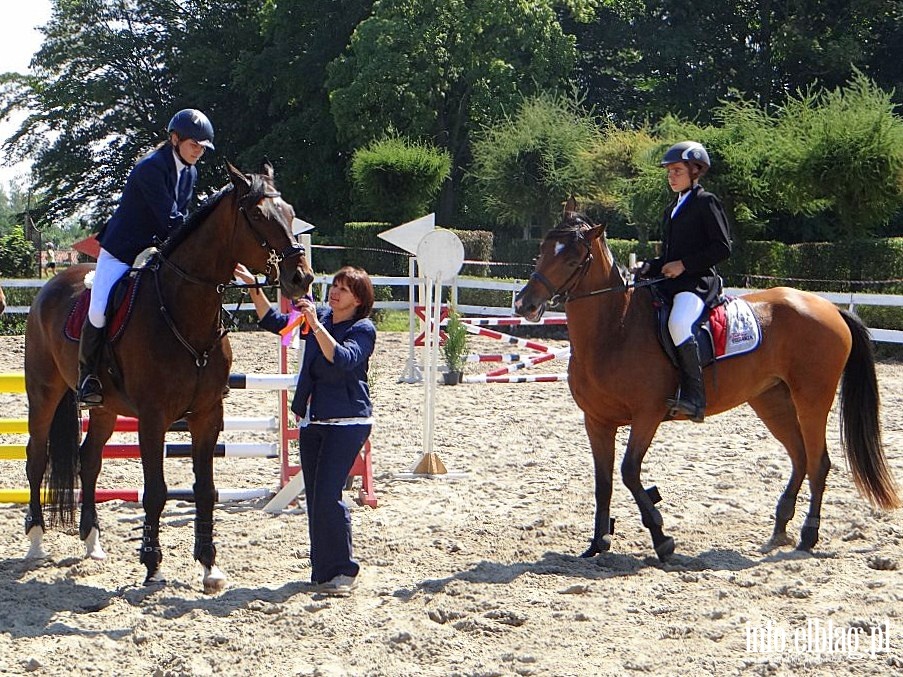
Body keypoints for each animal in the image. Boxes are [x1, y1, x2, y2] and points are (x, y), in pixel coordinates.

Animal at [23, 160, 314, 592]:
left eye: (291, 213)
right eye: (259, 216)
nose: (302, 279)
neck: (184, 310)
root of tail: (50, 284)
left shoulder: (207, 416)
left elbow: (206, 490)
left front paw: (209, 565)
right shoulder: (153, 418)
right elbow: (156, 492)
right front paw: (152, 564)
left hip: (106, 407)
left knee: (89, 459)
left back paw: (92, 540)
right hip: (44, 393)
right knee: (36, 458)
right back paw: (36, 541)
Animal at [512, 201, 900, 560]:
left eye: (572, 259)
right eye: (543, 248)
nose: (525, 305)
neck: (615, 328)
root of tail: (829, 307)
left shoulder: (647, 415)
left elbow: (629, 472)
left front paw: (662, 538)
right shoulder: (596, 421)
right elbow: (603, 481)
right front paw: (598, 543)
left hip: (812, 400)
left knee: (818, 463)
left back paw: (808, 535)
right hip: (772, 401)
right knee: (801, 459)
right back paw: (779, 529)